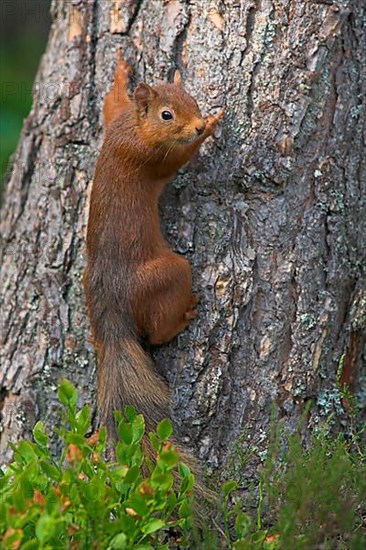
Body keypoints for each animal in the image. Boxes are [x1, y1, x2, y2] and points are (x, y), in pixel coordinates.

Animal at [83, 51, 223, 476]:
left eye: (191, 98)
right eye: (166, 115)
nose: (197, 123)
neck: (133, 127)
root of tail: (113, 321)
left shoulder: (115, 122)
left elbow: (110, 107)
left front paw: (120, 76)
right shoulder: (150, 158)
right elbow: (178, 159)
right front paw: (211, 128)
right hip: (167, 273)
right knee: (158, 333)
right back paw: (185, 315)